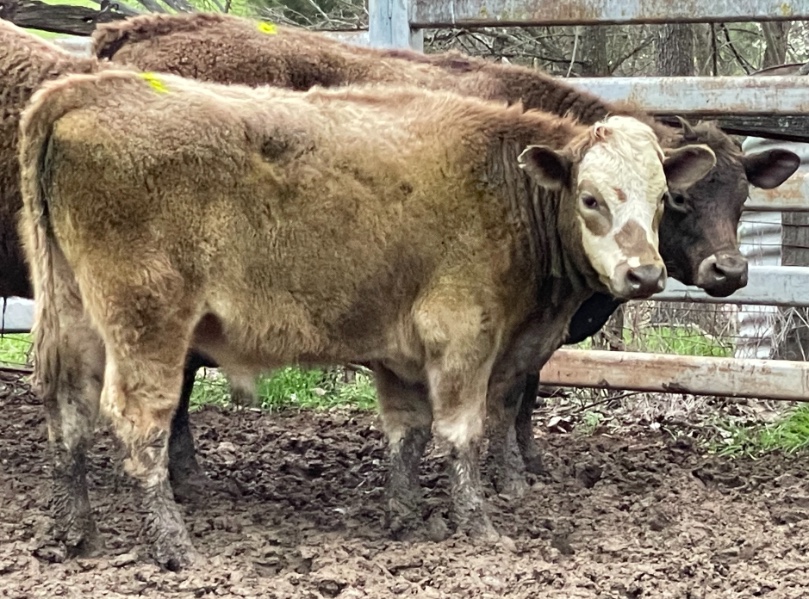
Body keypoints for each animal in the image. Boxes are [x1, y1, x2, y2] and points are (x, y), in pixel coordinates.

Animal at [17, 67, 712, 568]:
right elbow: (463, 432)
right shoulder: (464, 335)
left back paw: (76, 534)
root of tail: (82, 89)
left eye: (663, 200)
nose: (644, 275)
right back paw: (173, 546)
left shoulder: (398, 353)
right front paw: (479, 527)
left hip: (74, 317)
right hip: (148, 323)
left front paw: (404, 518)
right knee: (139, 423)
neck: (501, 185)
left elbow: (406, 433)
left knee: (68, 412)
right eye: (590, 199)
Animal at [90, 12, 800, 502]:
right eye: (678, 201)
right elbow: (511, 393)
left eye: (742, 196)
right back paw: (185, 479)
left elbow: (524, 391)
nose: (730, 271)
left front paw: (527, 463)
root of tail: (137, 29)